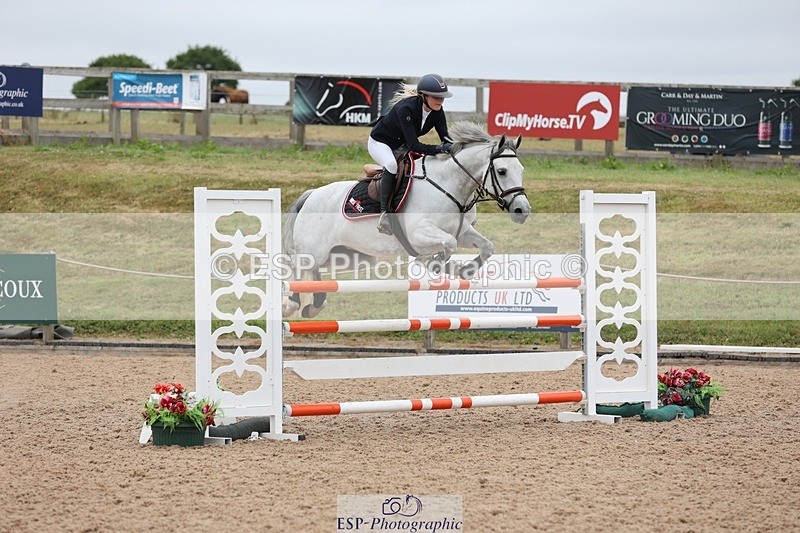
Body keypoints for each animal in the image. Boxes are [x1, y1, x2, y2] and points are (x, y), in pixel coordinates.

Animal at [282, 121, 531, 318]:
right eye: (501, 171)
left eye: (521, 169)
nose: (522, 210)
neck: (450, 185)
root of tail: (311, 194)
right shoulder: (419, 233)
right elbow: (447, 244)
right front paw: (435, 263)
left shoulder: (462, 232)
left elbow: (486, 246)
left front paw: (464, 269)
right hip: (314, 251)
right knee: (297, 268)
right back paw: (291, 303)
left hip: (347, 256)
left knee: (316, 274)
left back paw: (315, 304)